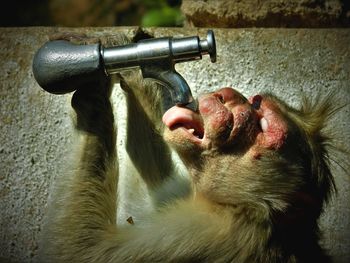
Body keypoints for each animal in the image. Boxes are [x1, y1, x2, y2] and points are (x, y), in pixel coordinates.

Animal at [37, 32, 340, 262]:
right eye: (254, 103)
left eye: (260, 123)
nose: (227, 94)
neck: (240, 205)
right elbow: (150, 197)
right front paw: (135, 60)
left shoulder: (205, 234)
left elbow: (86, 250)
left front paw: (95, 97)